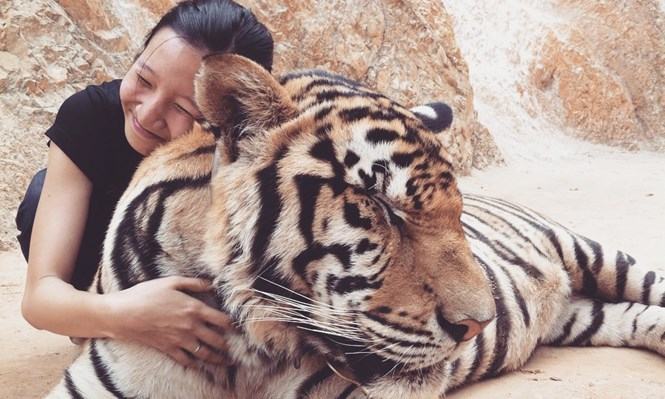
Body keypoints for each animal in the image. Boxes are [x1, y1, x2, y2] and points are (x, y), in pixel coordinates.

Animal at [48, 54, 664, 399]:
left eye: (456, 210)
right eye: (381, 205)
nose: (478, 325)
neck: (242, 348)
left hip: (597, 254)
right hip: (585, 316)